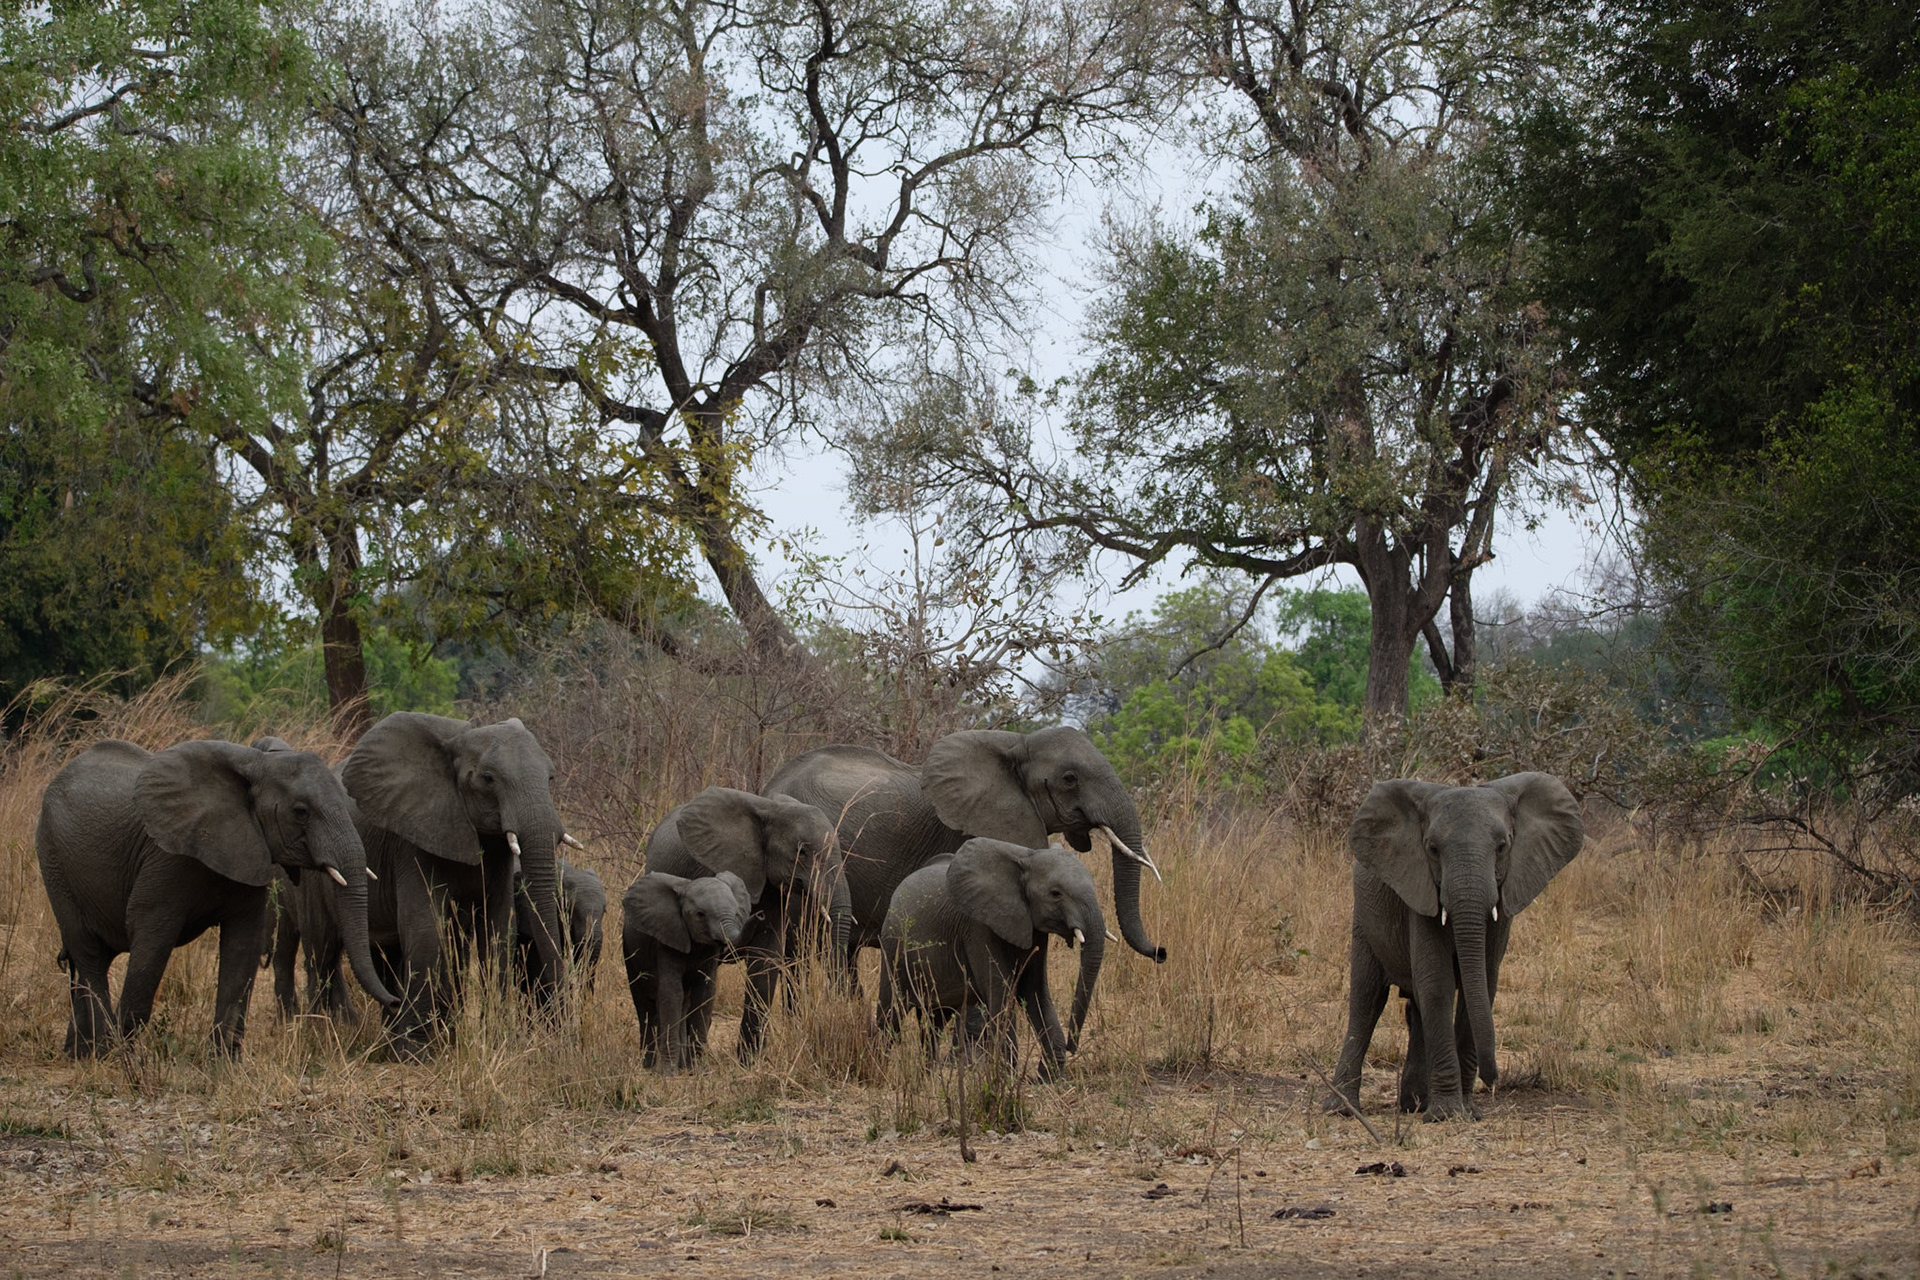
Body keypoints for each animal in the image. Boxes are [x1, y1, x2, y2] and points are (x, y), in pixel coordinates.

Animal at [35, 738, 396, 1056]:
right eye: (301, 811)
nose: (393, 1000)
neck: (257, 764)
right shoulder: (166, 859)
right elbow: (151, 944)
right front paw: (126, 1061)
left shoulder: (249, 850)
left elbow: (242, 947)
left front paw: (223, 1063)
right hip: (54, 861)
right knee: (89, 952)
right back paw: (100, 1051)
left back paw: (79, 1052)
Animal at [340, 712, 568, 1052]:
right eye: (487, 778)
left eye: (551, 778)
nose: (562, 1029)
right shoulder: (413, 836)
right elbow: (425, 927)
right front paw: (415, 1052)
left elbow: (499, 929)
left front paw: (495, 1040)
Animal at [621, 870, 753, 1071]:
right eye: (700, 914)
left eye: (737, 913)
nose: (760, 917)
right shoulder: (669, 935)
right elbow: (671, 993)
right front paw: (667, 1073)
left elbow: (705, 993)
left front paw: (699, 1071)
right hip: (631, 955)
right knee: (644, 1006)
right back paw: (648, 1067)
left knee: (684, 1004)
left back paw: (682, 1067)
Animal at [876, 838, 1106, 1080]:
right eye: (1055, 893)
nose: (1072, 1045)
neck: (1025, 858)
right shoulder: (978, 927)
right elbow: (1001, 992)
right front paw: (1005, 1077)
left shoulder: (1033, 930)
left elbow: (1035, 991)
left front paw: (1048, 1079)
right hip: (892, 947)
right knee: (891, 1013)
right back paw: (879, 1071)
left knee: (934, 1021)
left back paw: (927, 1076)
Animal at [1326, 772, 1584, 1121]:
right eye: (1433, 849)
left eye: (1502, 847)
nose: (1493, 1079)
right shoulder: (1419, 889)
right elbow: (1438, 984)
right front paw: (1447, 1115)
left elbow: (1481, 985)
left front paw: (1468, 1112)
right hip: (1364, 918)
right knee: (1366, 1001)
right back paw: (1342, 1109)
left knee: (1414, 1008)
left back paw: (1414, 1105)